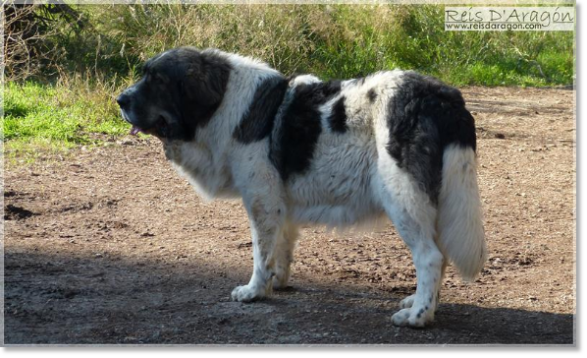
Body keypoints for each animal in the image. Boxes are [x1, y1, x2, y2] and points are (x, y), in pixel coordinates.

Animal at [116, 46, 486, 328]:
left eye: (158, 80)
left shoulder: (262, 200)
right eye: (144, 75)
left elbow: (260, 252)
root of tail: (443, 98)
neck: (224, 105)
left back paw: (418, 316)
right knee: (440, 255)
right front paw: (276, 282)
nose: (120, 99)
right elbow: (280, 246)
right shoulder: (279, 203)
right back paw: (422, 301)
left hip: (402, 199)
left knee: (430, 257)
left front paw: (254, 291)